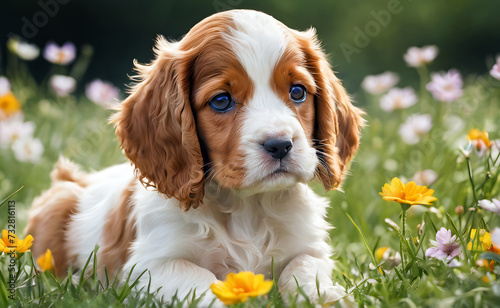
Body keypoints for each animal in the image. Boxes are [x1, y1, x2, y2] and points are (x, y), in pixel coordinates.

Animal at [26, 9, 364, 306]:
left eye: (297, 92)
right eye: (221, 101)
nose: (280, 145)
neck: (247, 207)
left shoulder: (308, 245)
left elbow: (302, 268)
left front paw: (327, 296)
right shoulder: (149, 267)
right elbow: (201, 280)